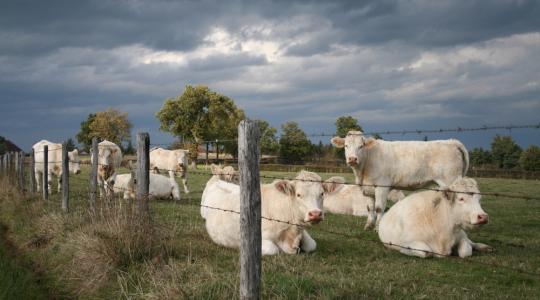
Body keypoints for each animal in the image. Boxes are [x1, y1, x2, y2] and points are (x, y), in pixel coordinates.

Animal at [330, 131, 468, 230]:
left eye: (361, 146)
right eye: (346, 146)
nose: (352, 159)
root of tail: (451, 142)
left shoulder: (382, 186)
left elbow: (379, 208)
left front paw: (378, 228)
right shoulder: (367, 189)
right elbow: (370, 207)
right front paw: (368, 226)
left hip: (451, 181)